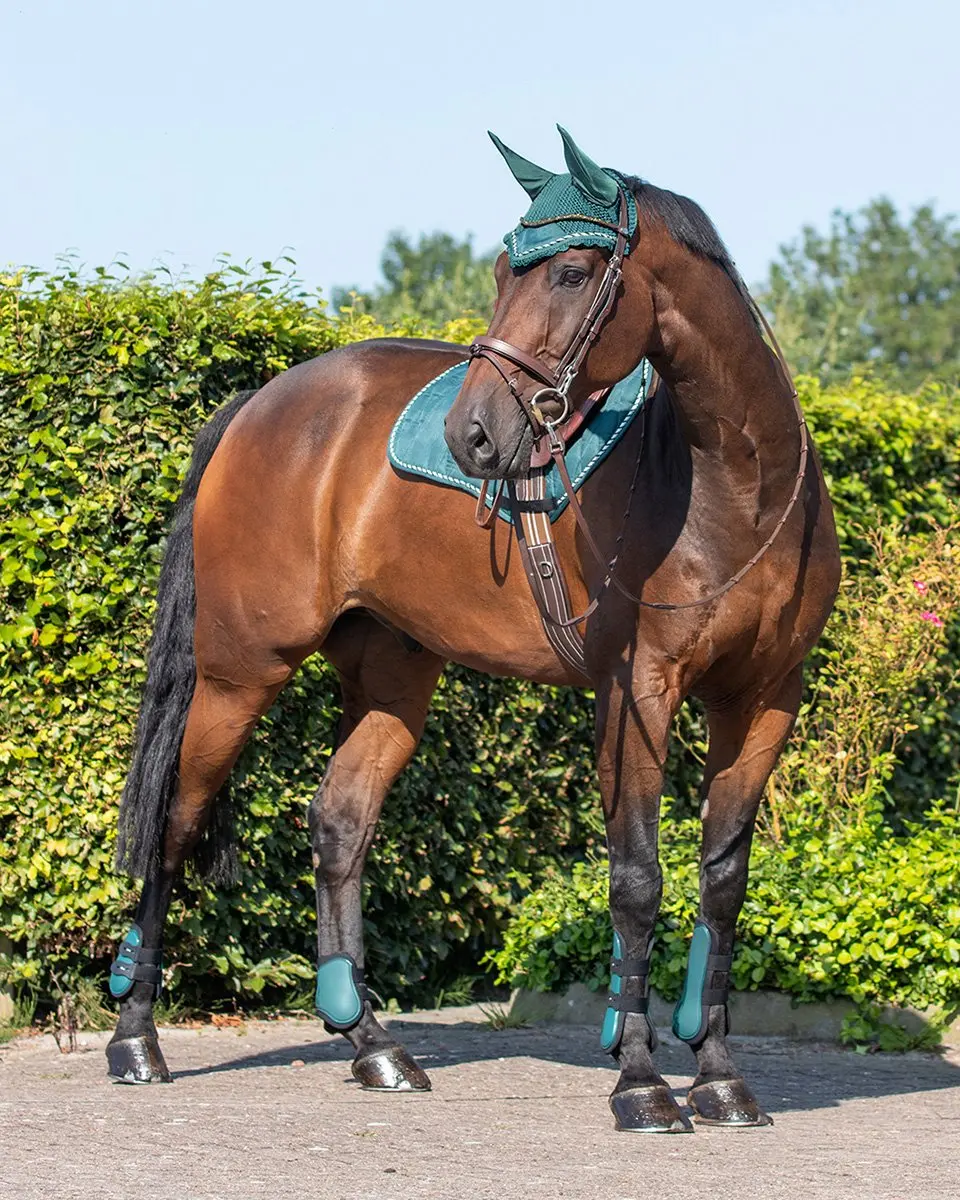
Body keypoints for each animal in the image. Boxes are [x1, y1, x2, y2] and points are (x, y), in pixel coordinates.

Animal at [105, 127, 840, 1133]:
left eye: (571, 271)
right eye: (501, 269)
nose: (475, 436)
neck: (734, 487)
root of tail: (259, 405)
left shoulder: (764, 699)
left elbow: (722, 883)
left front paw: (722, 1077)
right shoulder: (636, 694)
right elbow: (638, 879)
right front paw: (642, 1083)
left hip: (390, 675)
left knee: (339, 822)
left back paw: (374, 1046)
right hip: (237, 673)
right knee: (174, 823)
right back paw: (137, 1038)